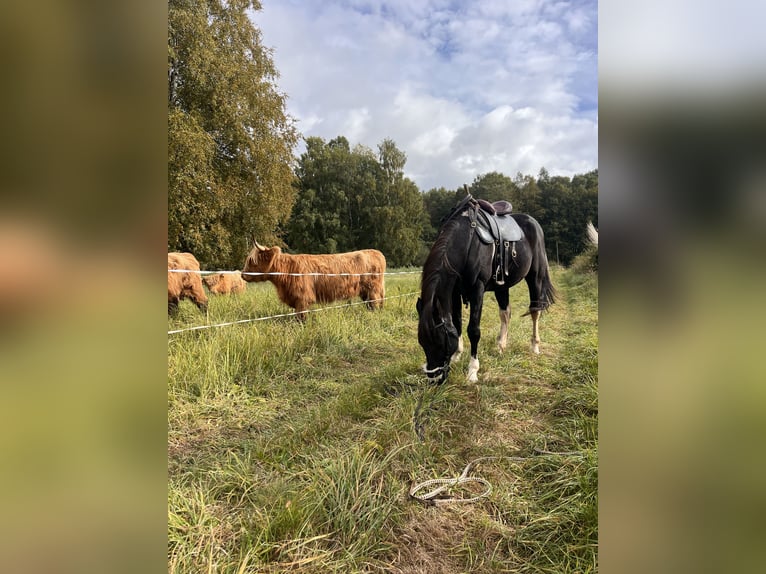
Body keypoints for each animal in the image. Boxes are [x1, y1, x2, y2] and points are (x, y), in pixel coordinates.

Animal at [416, 194, 556, 384]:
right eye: (422, 342)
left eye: (440, 342)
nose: (434, 379)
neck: (467, 241)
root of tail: (533, 222)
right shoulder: (455, 292)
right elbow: (457, 323)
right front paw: (457, 355)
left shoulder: (477, 290)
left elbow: (473, 330)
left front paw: (472, 371)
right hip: (502, 285)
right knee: (506, 313)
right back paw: (501, 346)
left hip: (535, 277)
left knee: (535, 311)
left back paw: (534, 346)